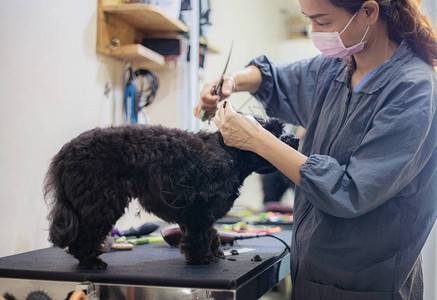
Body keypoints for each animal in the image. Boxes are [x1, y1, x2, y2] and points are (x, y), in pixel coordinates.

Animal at [44, 116, 298, 268]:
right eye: (271, 133)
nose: (293, 138)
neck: (229, 155)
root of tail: (63, 156)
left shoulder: (198, 212)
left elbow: (209, 232)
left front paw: (213, 252)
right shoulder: (198, 210)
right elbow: (199, 235)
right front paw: (202, 258)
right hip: (100, 204)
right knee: (84, 237)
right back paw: (91, 262)